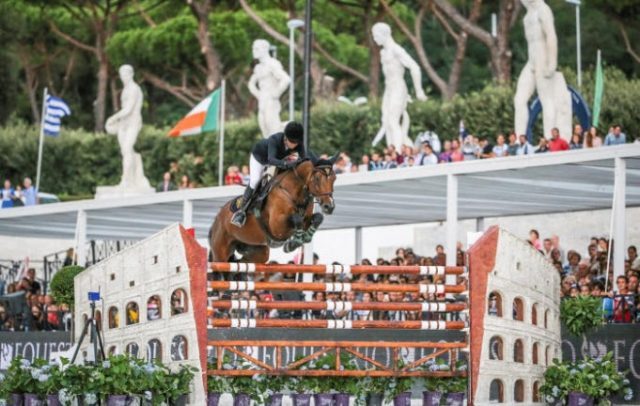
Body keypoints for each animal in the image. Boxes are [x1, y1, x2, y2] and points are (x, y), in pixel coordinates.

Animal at [210, 157, 340, 262]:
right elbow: (296, 218)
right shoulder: (277, 226)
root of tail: (217, 218)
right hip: (220, 254)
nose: (329, 206)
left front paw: (305, 237)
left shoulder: (307, 220)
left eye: (334, 178)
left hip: (259, 251)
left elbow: (318, 217)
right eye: (317, 178)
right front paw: (292, 244)